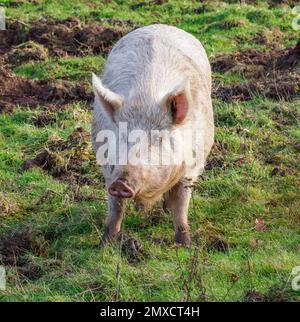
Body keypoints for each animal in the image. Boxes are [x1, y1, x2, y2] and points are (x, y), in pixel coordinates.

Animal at [91, 24, 213, 247]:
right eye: (121, 135)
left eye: (159, 139)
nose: (122, 183)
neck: (145, 96)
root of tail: (159, 26)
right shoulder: (109, 169)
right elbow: (115, 207)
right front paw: (105, 244)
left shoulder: (191, 166)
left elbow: (181, 205)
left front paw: (185, 245)